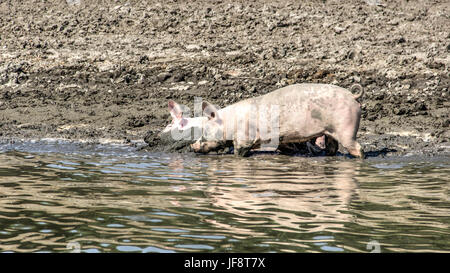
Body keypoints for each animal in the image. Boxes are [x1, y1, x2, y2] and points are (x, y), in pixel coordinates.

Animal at [192, 84, 364, 157]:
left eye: (205, 128)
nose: (192, 146)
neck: (229, 122)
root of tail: (352, 95)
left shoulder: (244, 138)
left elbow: (239, 152)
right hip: (330, 131)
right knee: (332, 147)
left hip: (346, 128)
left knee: (357, 148)